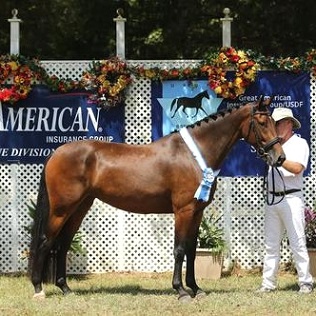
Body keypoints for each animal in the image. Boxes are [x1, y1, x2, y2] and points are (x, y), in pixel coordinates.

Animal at [30, 96, 286, 302]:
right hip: (61, 210)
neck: (193, 155)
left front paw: (196, 288)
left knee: (62, 245)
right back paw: (39, 289)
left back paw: (66, 289)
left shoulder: (197, 212)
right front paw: (181, 291)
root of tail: (56, 152)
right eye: (262, 123)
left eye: (274, 123)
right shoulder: (183, 211)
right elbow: (179, 250)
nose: (280, 157)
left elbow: (191, 250)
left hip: (80, 208)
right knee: (45, 242)